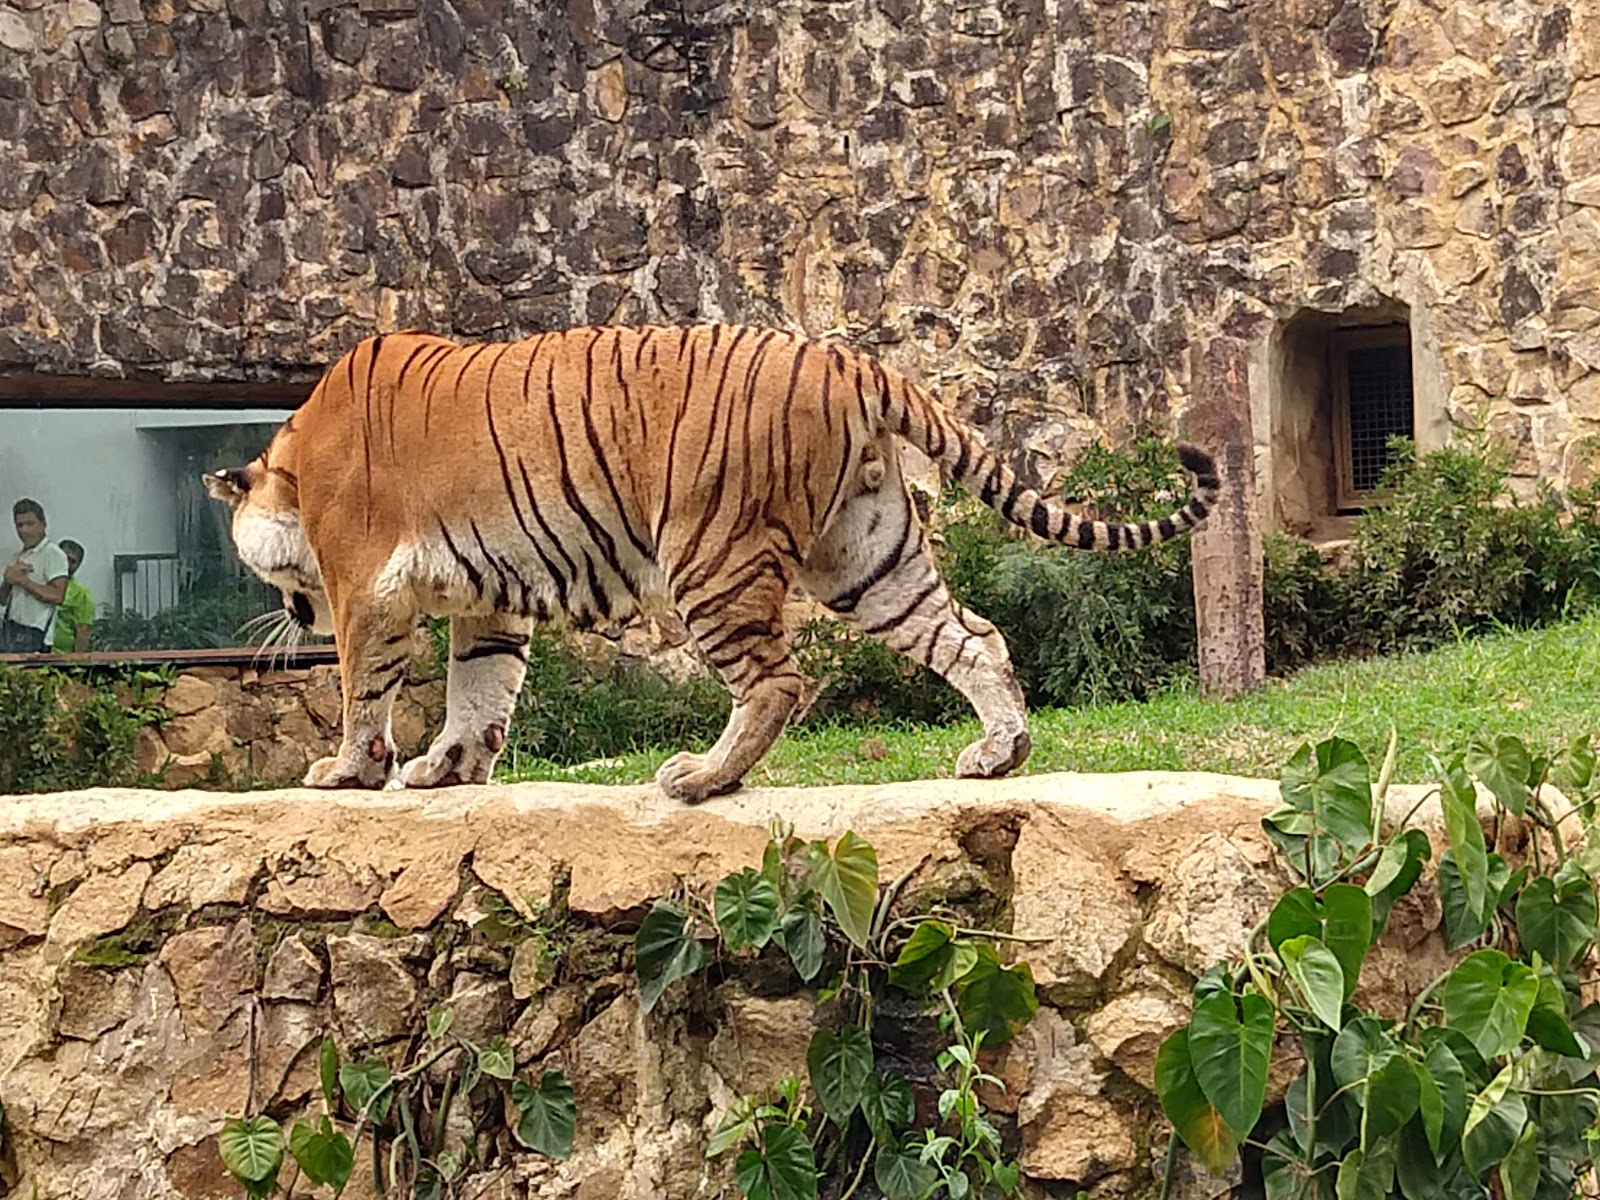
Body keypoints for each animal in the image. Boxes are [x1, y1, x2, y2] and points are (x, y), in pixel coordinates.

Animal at [206, 324, 1216, 803]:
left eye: (285, 585)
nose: (291, 617)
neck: (294, 455)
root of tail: (849, 362)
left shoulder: (362, 585)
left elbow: (363, 688)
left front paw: (348, 771)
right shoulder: (489, 601)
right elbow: (480, 690)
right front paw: (447, 769)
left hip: (710, 554)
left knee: (776, 681)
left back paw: (702, 778)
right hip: (868, 557)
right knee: (974, 635)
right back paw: (999, 753)